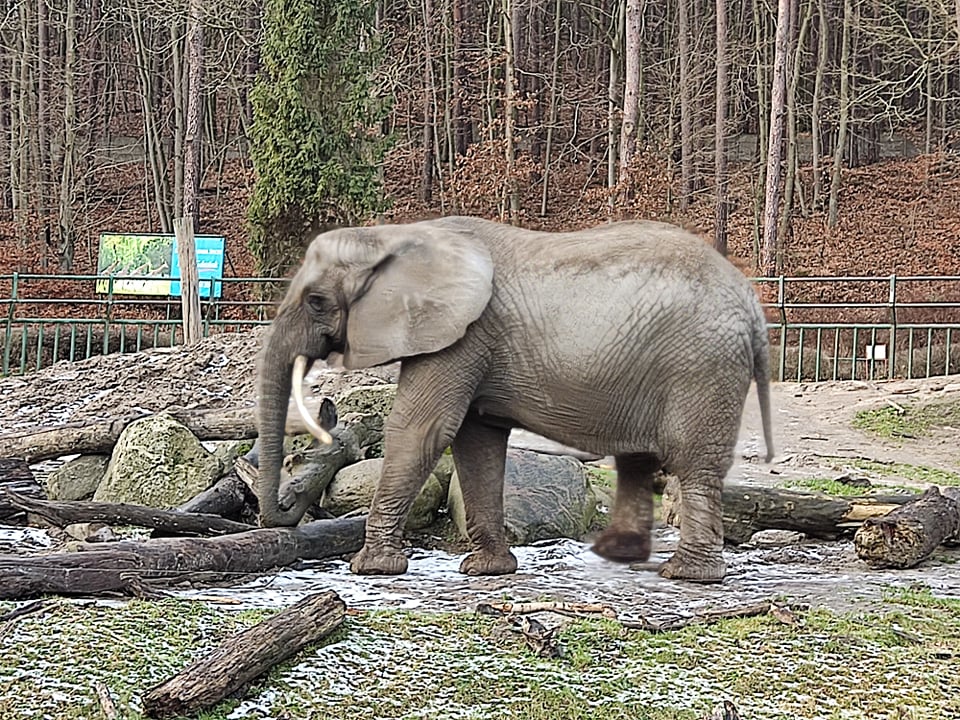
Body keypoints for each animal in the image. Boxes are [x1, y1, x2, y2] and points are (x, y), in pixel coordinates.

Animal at [255, 216, 774, 582]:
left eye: (316, 301)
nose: (287, 508)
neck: (391, 235)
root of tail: (752, 303)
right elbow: (475, 440)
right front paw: (486, 571)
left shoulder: (461, 337)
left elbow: (422, 428)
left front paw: (369, 569)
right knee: (642, 462)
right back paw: (623, 558)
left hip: (701, 367)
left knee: (694, 463)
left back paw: (687, 575)